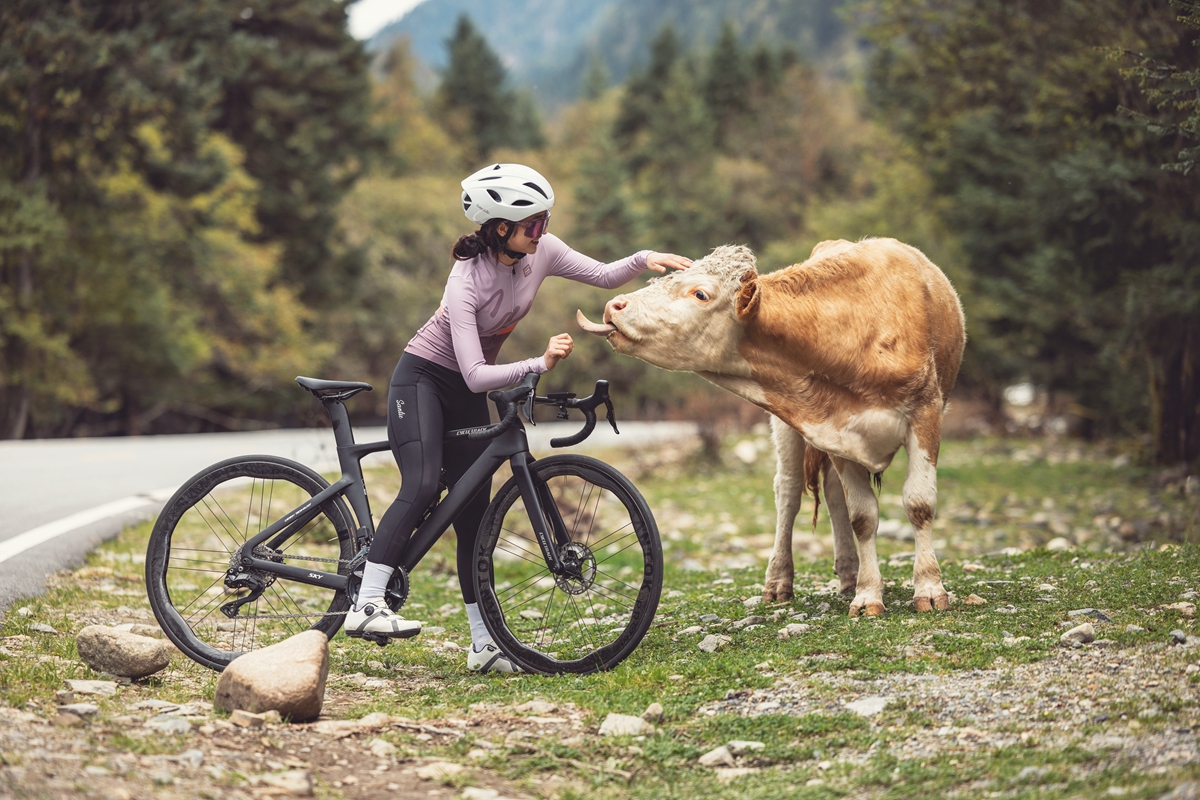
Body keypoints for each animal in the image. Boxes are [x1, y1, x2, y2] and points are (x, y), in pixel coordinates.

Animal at [573, 241, 964, 618]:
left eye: (700, 293)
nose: (615, 305)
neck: (857, 332)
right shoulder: (835, 429)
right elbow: (862, 516)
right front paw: (869, 595)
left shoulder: (926, 412)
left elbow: (918, 504)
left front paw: (929, 589)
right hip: (786, 426)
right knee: (791, 493)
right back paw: (785, 581)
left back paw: (849, 575)